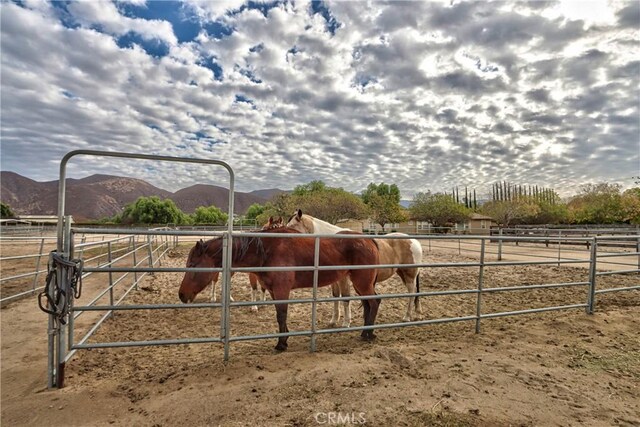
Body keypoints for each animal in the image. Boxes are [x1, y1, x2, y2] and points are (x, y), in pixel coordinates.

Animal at [178, 227, 382, 352]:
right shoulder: (274, 291)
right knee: (368, 305)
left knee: (374, 302)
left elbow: (281, 315)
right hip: (359, 284)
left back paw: (368, 334)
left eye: (193, 265)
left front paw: (281, 343)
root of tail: (369, 240)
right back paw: (365, 331)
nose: (181, 295)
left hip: (362, 283)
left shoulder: (282, 290)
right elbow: (279, 315)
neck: (268, 250)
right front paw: (284, 339)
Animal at [288, 211, 422, 328]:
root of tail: (414, 241)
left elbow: (345, 297)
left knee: (412, 293)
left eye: (292, 226)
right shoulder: (335, 281)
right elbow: (335, 297)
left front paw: (346, 322)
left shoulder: (344, 279)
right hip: (402, 273)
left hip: (409, 275)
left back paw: (407, 317)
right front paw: (333, 321)